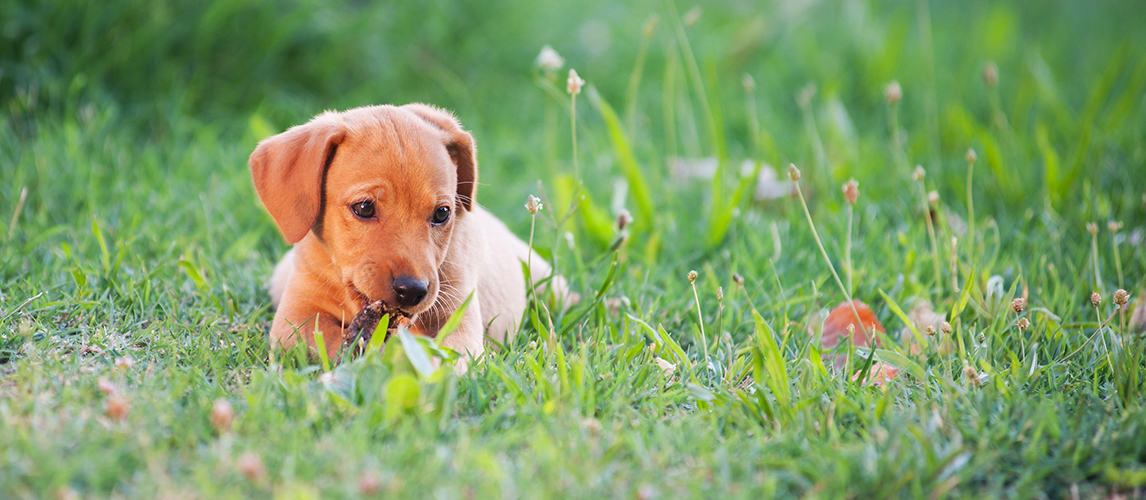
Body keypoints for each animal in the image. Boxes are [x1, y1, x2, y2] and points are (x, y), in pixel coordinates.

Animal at [249, 104, 550, 371]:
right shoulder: (295, 316)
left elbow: (444, 355)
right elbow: (329, 339)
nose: (413, 290)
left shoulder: (460, 320)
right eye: (364, 207)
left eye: (442, 213)